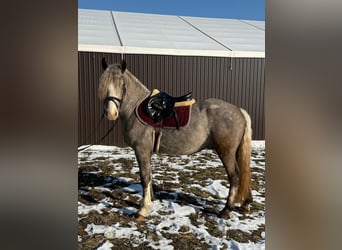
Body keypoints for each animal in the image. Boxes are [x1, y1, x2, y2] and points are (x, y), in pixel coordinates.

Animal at [97, 59, 252, 220]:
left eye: (122, 85)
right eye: (104, 86)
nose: (111, 113)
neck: (136, 109)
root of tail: (239, 111)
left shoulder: (141, 150)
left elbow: (144, 177)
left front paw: (143, 209)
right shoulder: (147, 152)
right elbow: (149, 175)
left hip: (226, 152)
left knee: (234, 177)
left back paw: (226, 210)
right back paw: (245, 203)